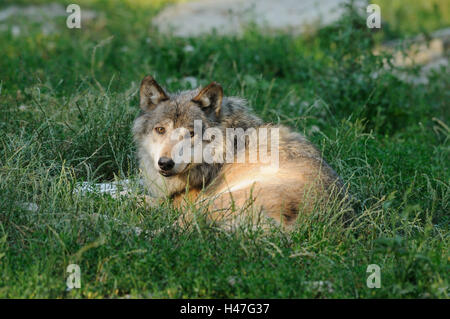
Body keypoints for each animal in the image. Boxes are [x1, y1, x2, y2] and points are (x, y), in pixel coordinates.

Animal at [133, 75, 348, 230]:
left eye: (191, 133)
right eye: (160, 130)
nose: (165, 163)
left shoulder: (181, 202)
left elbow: (137, 197)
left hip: (211, 203)